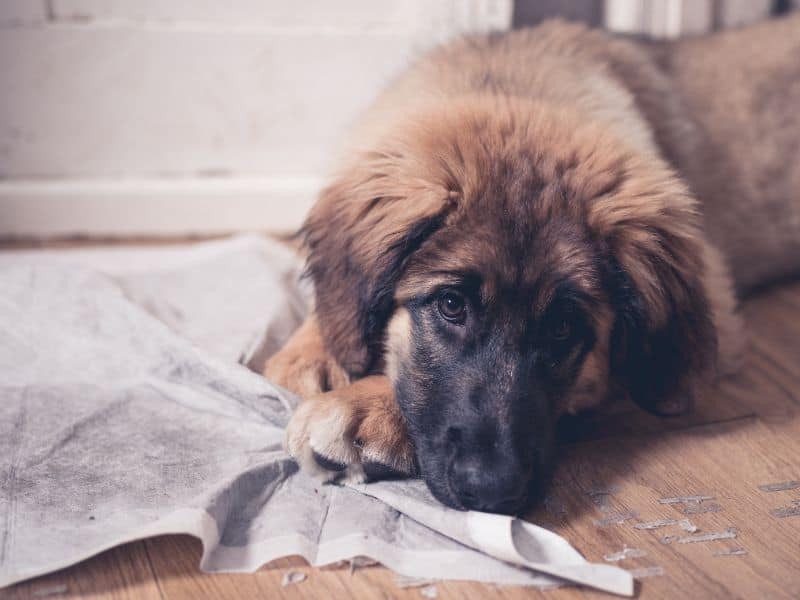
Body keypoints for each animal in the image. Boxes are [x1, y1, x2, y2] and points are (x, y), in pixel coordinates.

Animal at [268, 17, 800, 516]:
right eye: (451, 305)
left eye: (564, 327)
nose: (490, 491)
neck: (507, 84)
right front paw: (313, 355)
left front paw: (366, 408)